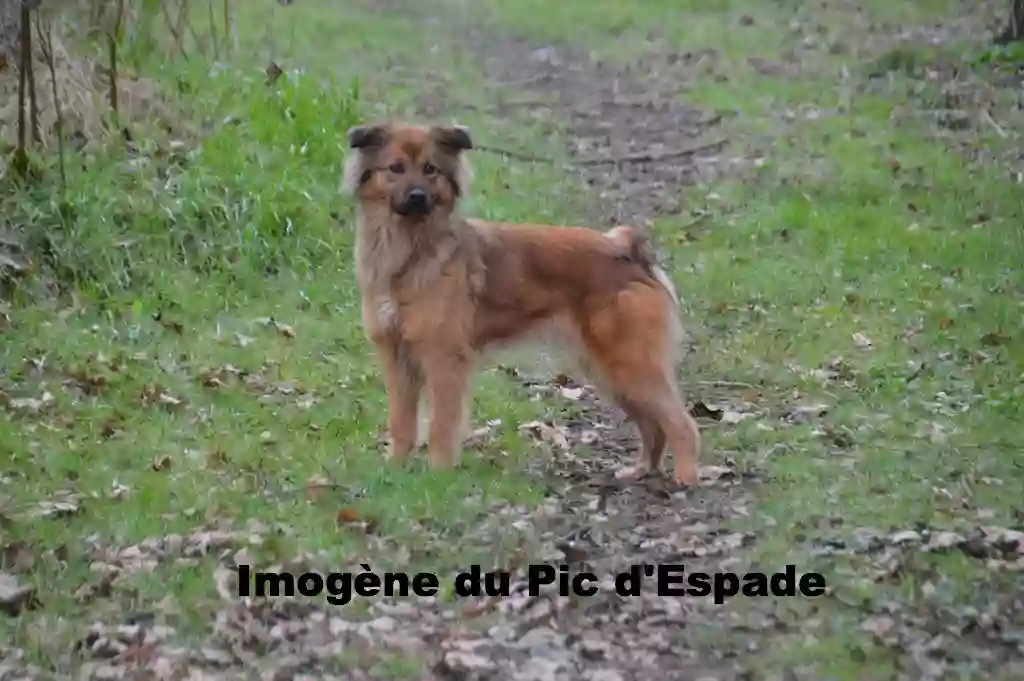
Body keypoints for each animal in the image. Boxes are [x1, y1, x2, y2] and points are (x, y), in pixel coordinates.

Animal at [339, 120, 700, 483]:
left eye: (430, 169)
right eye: (395, 168)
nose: (417, 196)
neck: (409, 249)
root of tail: (626, 250)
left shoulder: (444, 358)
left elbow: (441, 424)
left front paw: (439, 475)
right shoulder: (396, 356)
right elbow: (401, 421)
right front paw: (395, 469)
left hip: (629, 363)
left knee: (681, 423)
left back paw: (685, 477)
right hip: (607, 371)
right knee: (653, 424)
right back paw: (642, 469)